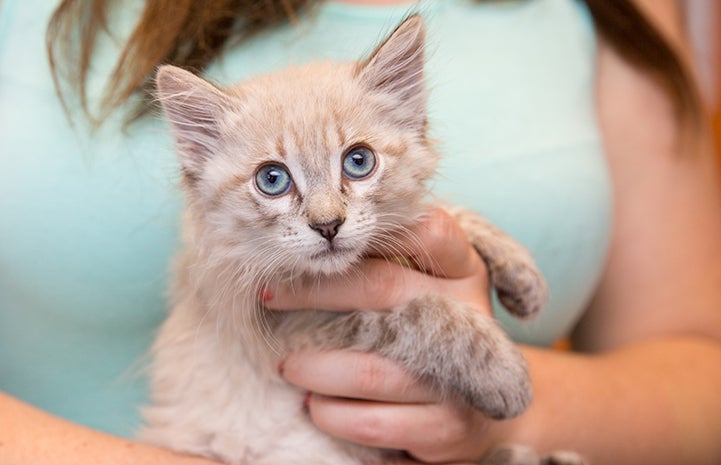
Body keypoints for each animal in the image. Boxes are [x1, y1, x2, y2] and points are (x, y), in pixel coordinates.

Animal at [142, 16, 584, 464]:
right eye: (272, 180)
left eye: (358, 162)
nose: (327, 225)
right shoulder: (295, 330)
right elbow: (422, 314)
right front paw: (504, 373)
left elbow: (439, 213)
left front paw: (522, 275)